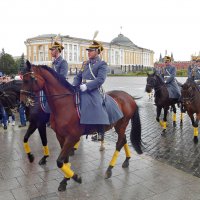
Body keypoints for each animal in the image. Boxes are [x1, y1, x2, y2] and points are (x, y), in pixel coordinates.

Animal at [19, 61, 142, 192]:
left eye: (28, 79)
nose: (22, 101)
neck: (64, 105)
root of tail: (129, 96)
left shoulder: (68, 135)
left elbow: (59, 160)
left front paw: (75, 177)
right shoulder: (59, 136)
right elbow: (63, 159)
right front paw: (65, 179)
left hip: (121, 125)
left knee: (120, 142)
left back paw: (109, 169)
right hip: (119, 127)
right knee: (124, 140)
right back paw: (126, 160)